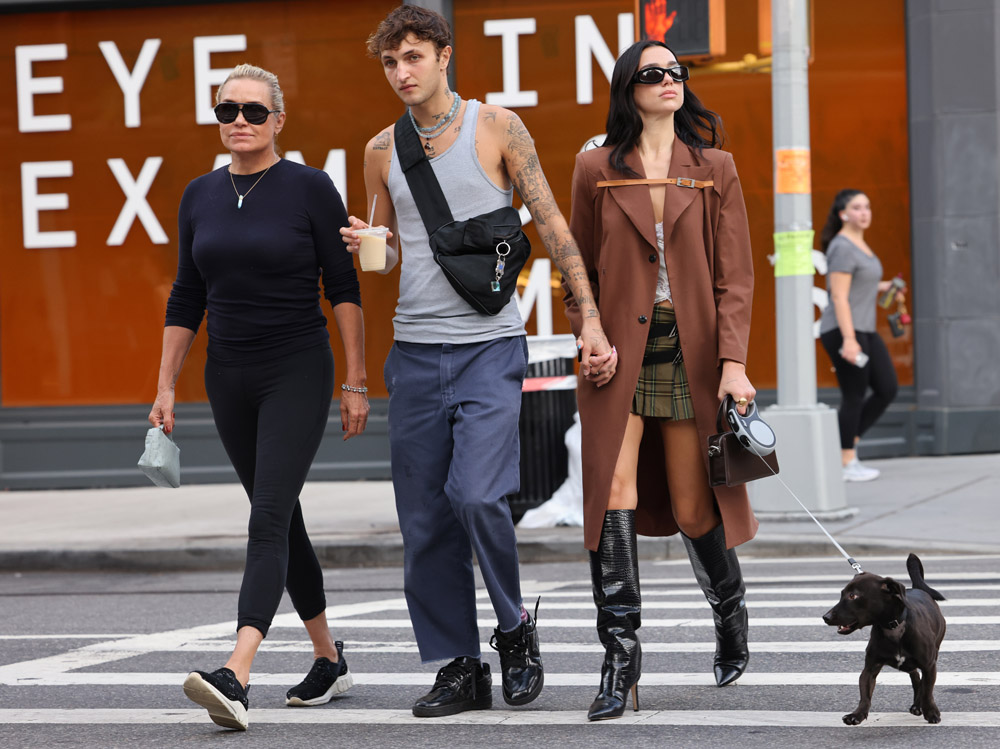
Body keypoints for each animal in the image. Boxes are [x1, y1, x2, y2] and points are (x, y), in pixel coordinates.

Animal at [820, 552, 944, 720]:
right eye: (842, 594)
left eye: (853, 596)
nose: (826, 617)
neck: (892, 627)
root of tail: (918, 589)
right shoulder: (870, 668)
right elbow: (865, 694)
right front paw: (857, 715)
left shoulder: (929, 666)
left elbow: (928, 691)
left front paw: (931, 711)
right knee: (915, 676)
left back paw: (919, 705)